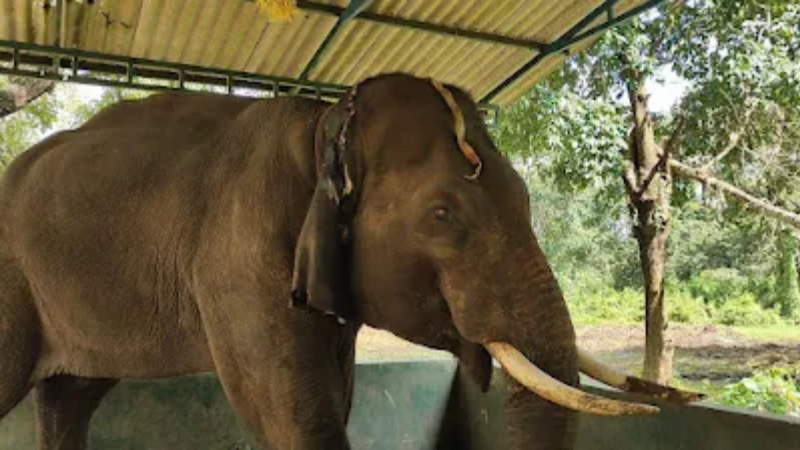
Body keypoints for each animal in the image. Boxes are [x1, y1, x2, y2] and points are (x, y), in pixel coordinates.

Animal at [0, 72, 696, 450]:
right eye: (442, 215)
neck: (322, 125)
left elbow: (338, 398)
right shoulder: (237, 260)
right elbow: (297, 416)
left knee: (68, 400)